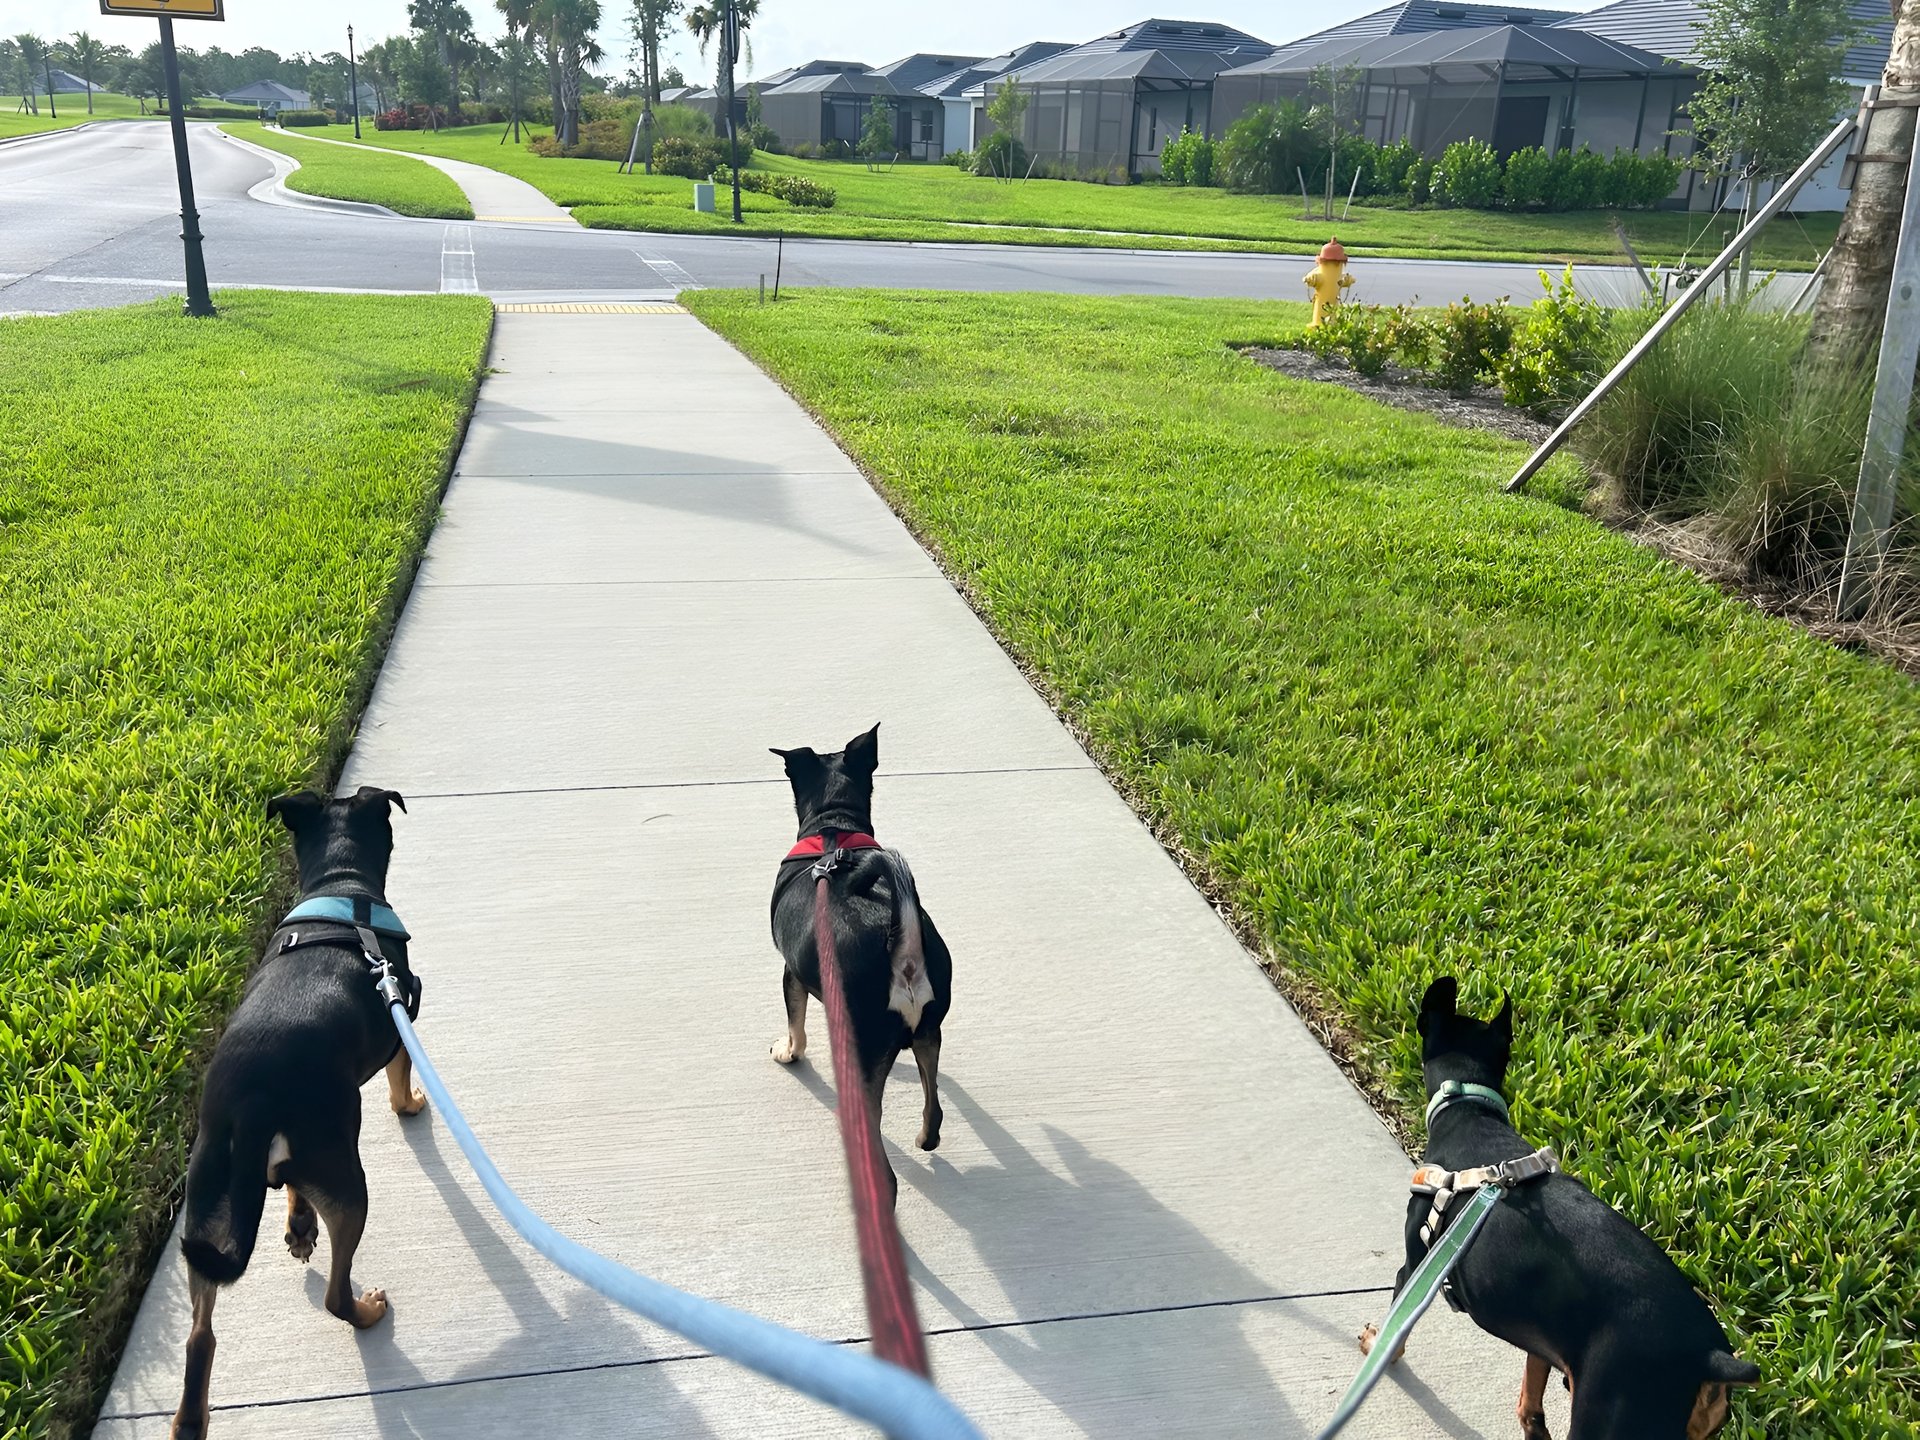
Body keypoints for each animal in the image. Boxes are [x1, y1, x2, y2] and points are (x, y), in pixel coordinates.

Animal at [171, 786, 424, 1440]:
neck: (342, 887)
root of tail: (251, 1098)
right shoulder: (400, 1025)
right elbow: (400, 1079)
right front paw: (413, 1104)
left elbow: (290, 1186)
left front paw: (298, 1223)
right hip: (347, 1175)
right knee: (335, 1294)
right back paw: (366, 1311)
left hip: (206, 1196)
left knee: (200, 1335)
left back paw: (189, 1420)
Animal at [768, 724, 952, 1191]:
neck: (834, 828)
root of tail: (903, 953)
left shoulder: (791, 974)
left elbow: (796, 1025)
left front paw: (788, 1051)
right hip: (929, 1032)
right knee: (934, 1109)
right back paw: (925, 1137)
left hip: (866, 1053)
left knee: (884, 1172)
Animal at [1360, 977, 1758, 1439]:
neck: (1468, 1110)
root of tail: (1708, 1356)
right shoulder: (1547, 1338)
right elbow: (1532, 1394)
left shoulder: (1414, 1265)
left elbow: (1395, 1331)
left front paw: (1374, 1344)